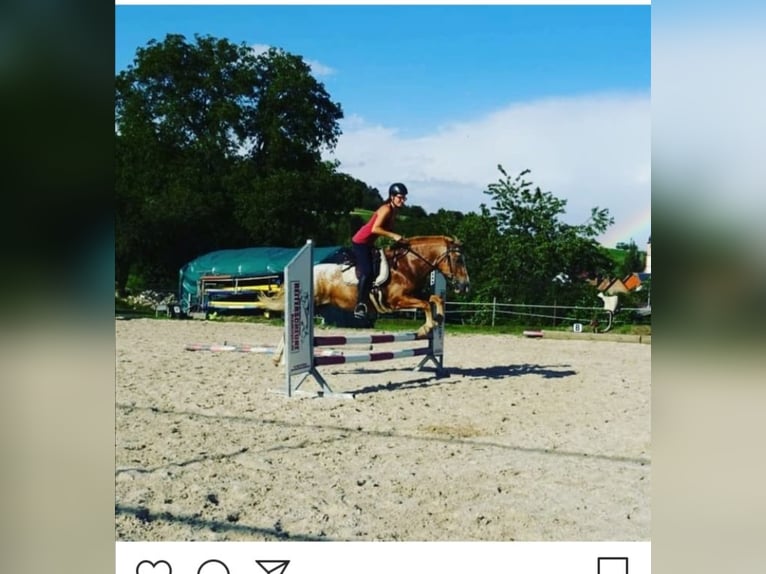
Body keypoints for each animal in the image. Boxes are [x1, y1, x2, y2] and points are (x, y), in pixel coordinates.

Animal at [256, 237, 468, 344]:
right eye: (458, 260)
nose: (465, 286)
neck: (407, 265)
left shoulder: (412, 295)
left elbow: (434, 299)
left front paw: (438, 319)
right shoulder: (397, 300)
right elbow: (424, 304)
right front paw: (427, 327)